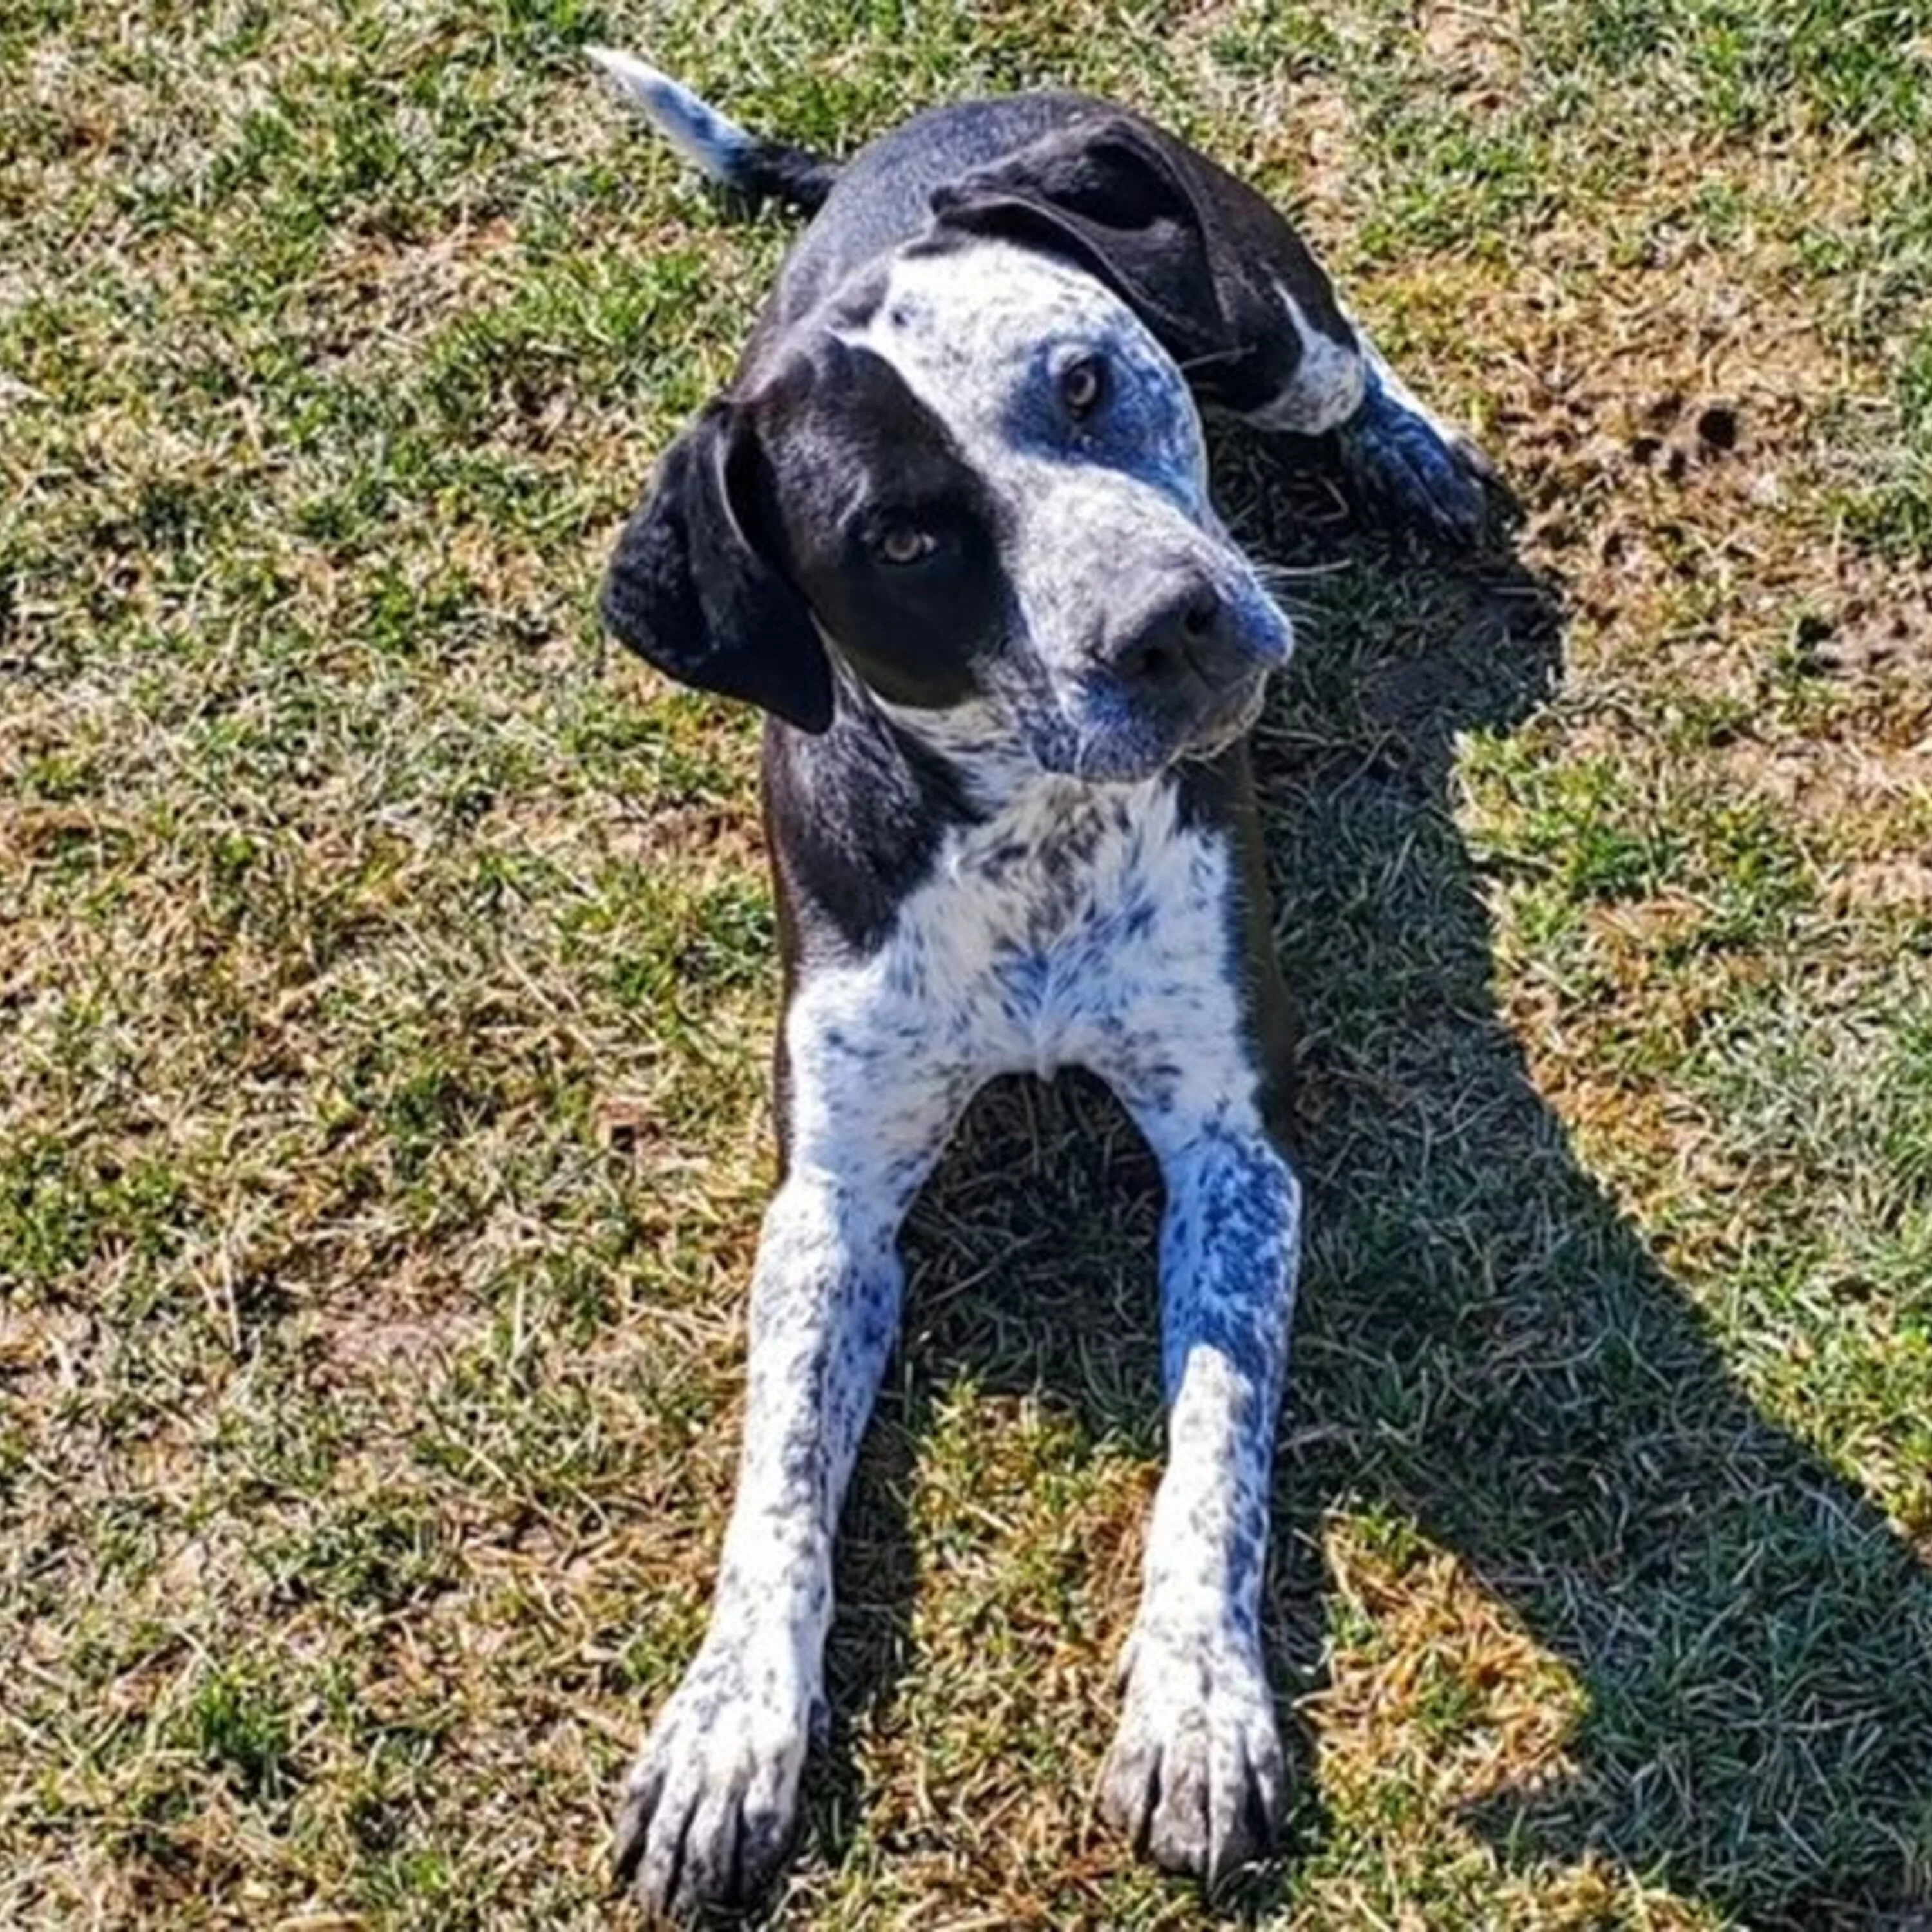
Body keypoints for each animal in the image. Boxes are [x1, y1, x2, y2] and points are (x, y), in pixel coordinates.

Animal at [587, 53, 1492, 1924]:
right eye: (906, 537)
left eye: (1081, 381)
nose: (1174, 622)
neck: (1036, 833)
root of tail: (947, 108)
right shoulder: (833, 1198)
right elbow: (779, 1484)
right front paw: (728, 1728)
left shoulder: (1234, 1150)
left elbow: (1214, 1450)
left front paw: (1199, 1707)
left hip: (1257, 326)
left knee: (1341, 363)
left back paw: (1414, 453)